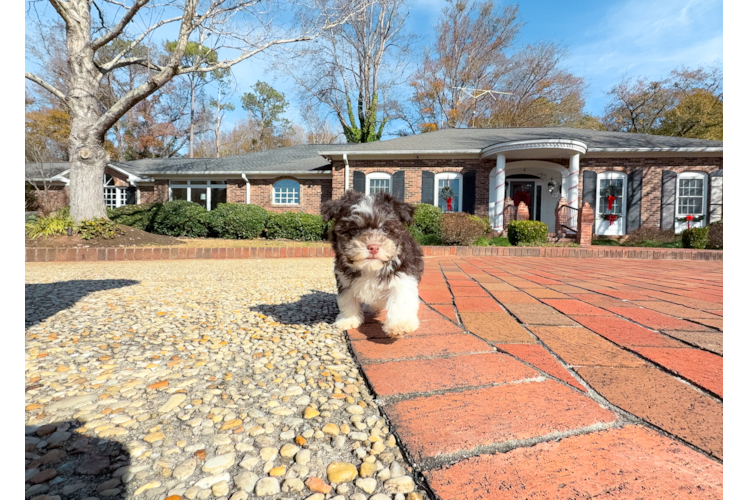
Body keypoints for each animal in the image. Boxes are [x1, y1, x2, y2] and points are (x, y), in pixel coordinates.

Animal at [322, 189, 424, 338]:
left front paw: (400, 324)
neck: (371, 268)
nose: (373, 247)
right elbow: (347, 298)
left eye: (385, 229)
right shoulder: (344, 278)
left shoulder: (403, 276)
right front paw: (348, 319)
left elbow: (400, 300)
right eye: (354, 230)